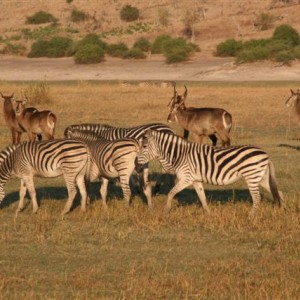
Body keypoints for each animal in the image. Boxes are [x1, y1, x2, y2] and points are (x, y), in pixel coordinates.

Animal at [138, 130, 284, 217]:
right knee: (279, 192)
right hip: (262, 177)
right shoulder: (196, 180)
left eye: (144, 147)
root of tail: (266, 154)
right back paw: (281, 211)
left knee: (257, 198)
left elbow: (171, 193)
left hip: (252, 176)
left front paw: (166, 211)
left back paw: (251, 217)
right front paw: (208, 214)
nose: (137, 163)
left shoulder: (187, 178)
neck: (180, 155)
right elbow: (202, 197)